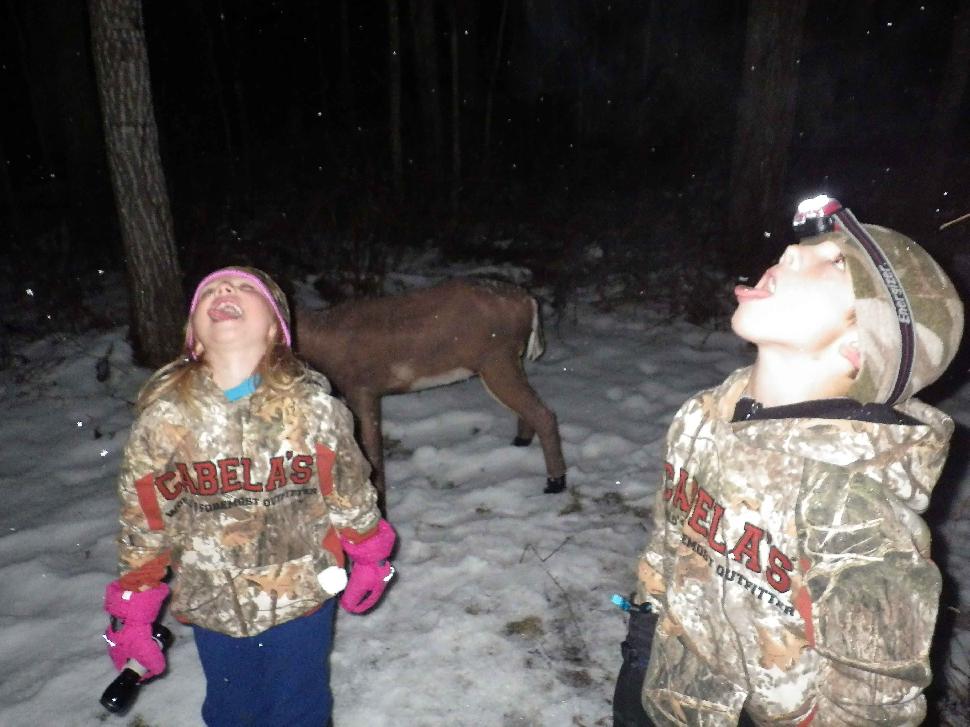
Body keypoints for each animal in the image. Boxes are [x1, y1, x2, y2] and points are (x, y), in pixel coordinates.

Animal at [294, 278, 568, 512]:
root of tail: (529, 301)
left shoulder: (362, 387)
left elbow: (372, 454)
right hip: (509, 359)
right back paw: (520, 443)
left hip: (496, 357)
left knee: (544, 412)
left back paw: (556, 483)